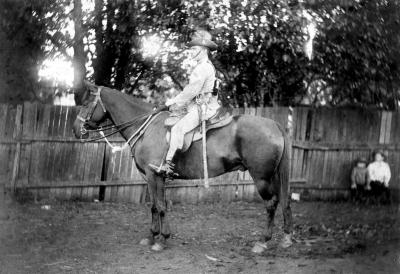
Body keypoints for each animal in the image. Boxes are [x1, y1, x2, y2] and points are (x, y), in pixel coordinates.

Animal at [73, 83, 294, 253]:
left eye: (86, 103)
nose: (76, 130)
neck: (146, 127)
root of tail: (275, 125)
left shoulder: (154, 175)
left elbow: (160, 206)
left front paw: (162, 239)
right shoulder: (153, 177)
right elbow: (154, 205)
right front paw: (152, 236)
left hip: (261, 178)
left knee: (271, 203)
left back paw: (262, 242)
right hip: (274, 176)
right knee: (284, 201)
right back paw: (285, 238)